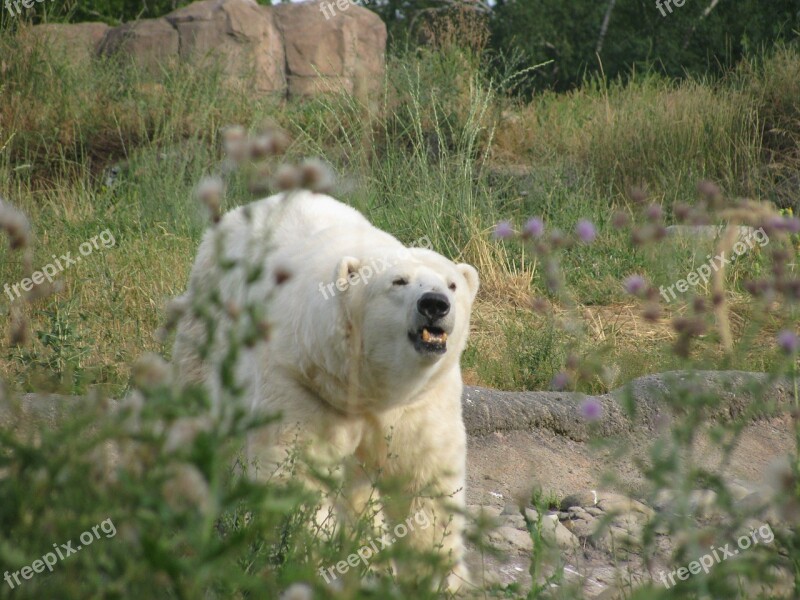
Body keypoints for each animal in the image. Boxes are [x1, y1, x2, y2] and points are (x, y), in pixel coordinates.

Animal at [172, 190, 478, 588]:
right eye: (398, 281)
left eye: (453, 284)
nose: (435, 304)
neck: (368, 383)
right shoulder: (299, 381)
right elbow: (297, 469)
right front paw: (307, 559)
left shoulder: (422, 399)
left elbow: (425, 477)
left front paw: (438, 578)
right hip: (209, 325)